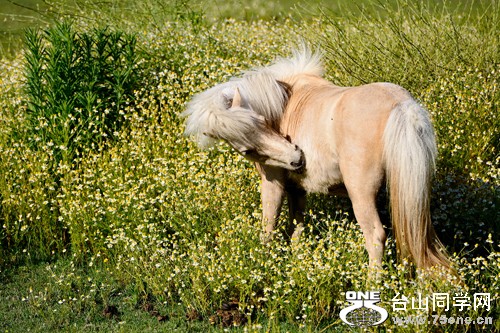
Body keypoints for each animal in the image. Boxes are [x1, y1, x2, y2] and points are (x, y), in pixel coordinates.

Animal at [183, 47, 450, 270]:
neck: (286, 101)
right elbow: (297, 227)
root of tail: (402, 105)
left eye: (261, 121)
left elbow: (268, 226)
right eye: (247, 150)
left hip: (361, 194)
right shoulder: (297, 189)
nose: (296, 158)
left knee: (375, 236)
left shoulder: (273, 183)